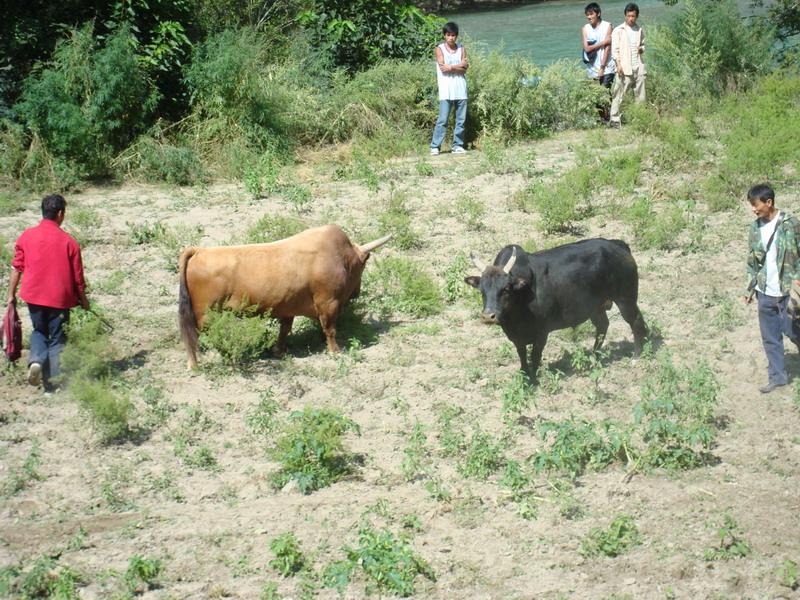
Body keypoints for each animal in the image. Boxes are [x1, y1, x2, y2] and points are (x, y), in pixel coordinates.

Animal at [181, 223, 394, 368]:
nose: (357, 292)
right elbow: (330, 329)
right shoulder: (328, 303)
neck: (339, 256)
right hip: (205, 314)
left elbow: (284, 330)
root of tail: (199, 251)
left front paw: (278, 351)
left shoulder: (287, 307)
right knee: (197, 335)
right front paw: (335, 351)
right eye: (362, 266)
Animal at [466, 240, 648, 378]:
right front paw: (524, 375)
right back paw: (594, 355)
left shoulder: (542, 332)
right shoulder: (516, 337)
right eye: (481, 291)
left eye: (505, 289)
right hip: (596, 307)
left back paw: (636, 356)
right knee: (603, 326)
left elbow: (535, 355)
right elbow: (522, 355)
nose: (488, 316)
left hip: (626, 299)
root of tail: (617, 244)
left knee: (637, 322)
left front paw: (534, 378)